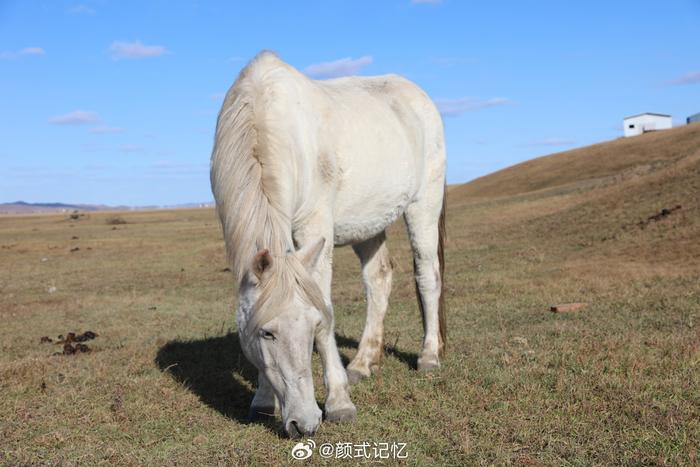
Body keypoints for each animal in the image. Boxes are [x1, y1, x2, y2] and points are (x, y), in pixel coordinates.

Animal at [211, 52, 446, 438]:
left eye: (313, 327)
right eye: (266, 332)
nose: (304, 423)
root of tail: (419, 96)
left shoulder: (313, 227)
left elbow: (327, 305)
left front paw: (338, 402)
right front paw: (263, 399)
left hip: (424, 205)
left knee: (428, 276)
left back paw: (428, 356)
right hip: (368, 223)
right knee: (379, 279)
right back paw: (364, 362)